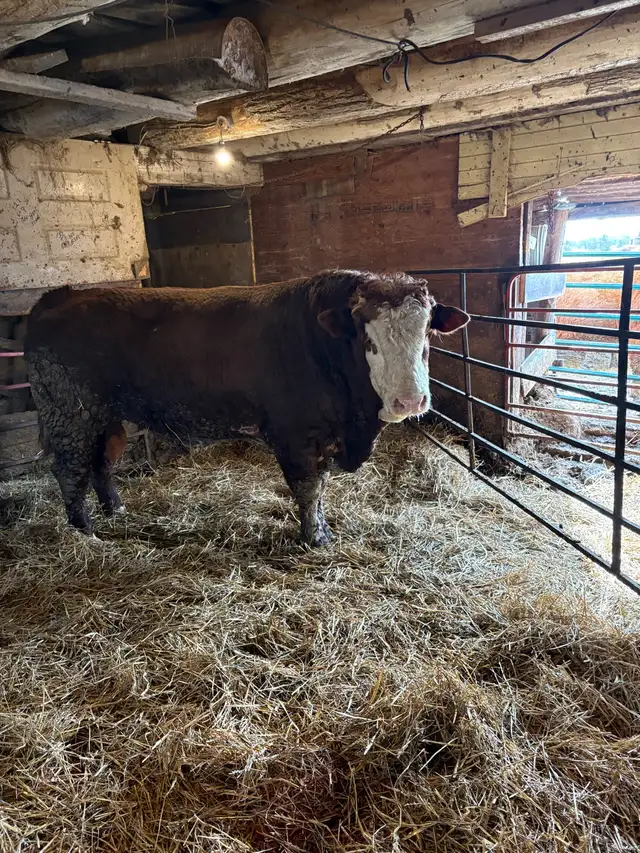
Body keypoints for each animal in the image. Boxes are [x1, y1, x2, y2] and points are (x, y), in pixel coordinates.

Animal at [24, 270, 469, 544]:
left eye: (427, 334)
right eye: (367, 338)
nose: (409, 401)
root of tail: (61, 295)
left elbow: (321, 489)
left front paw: (321, 528)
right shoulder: (295, 436)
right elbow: (308, 489)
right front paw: (314, 537)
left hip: (105, 416)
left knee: (102, 461)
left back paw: (114, 510)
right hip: (69, 412)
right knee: (70, 470)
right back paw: (86, 532)